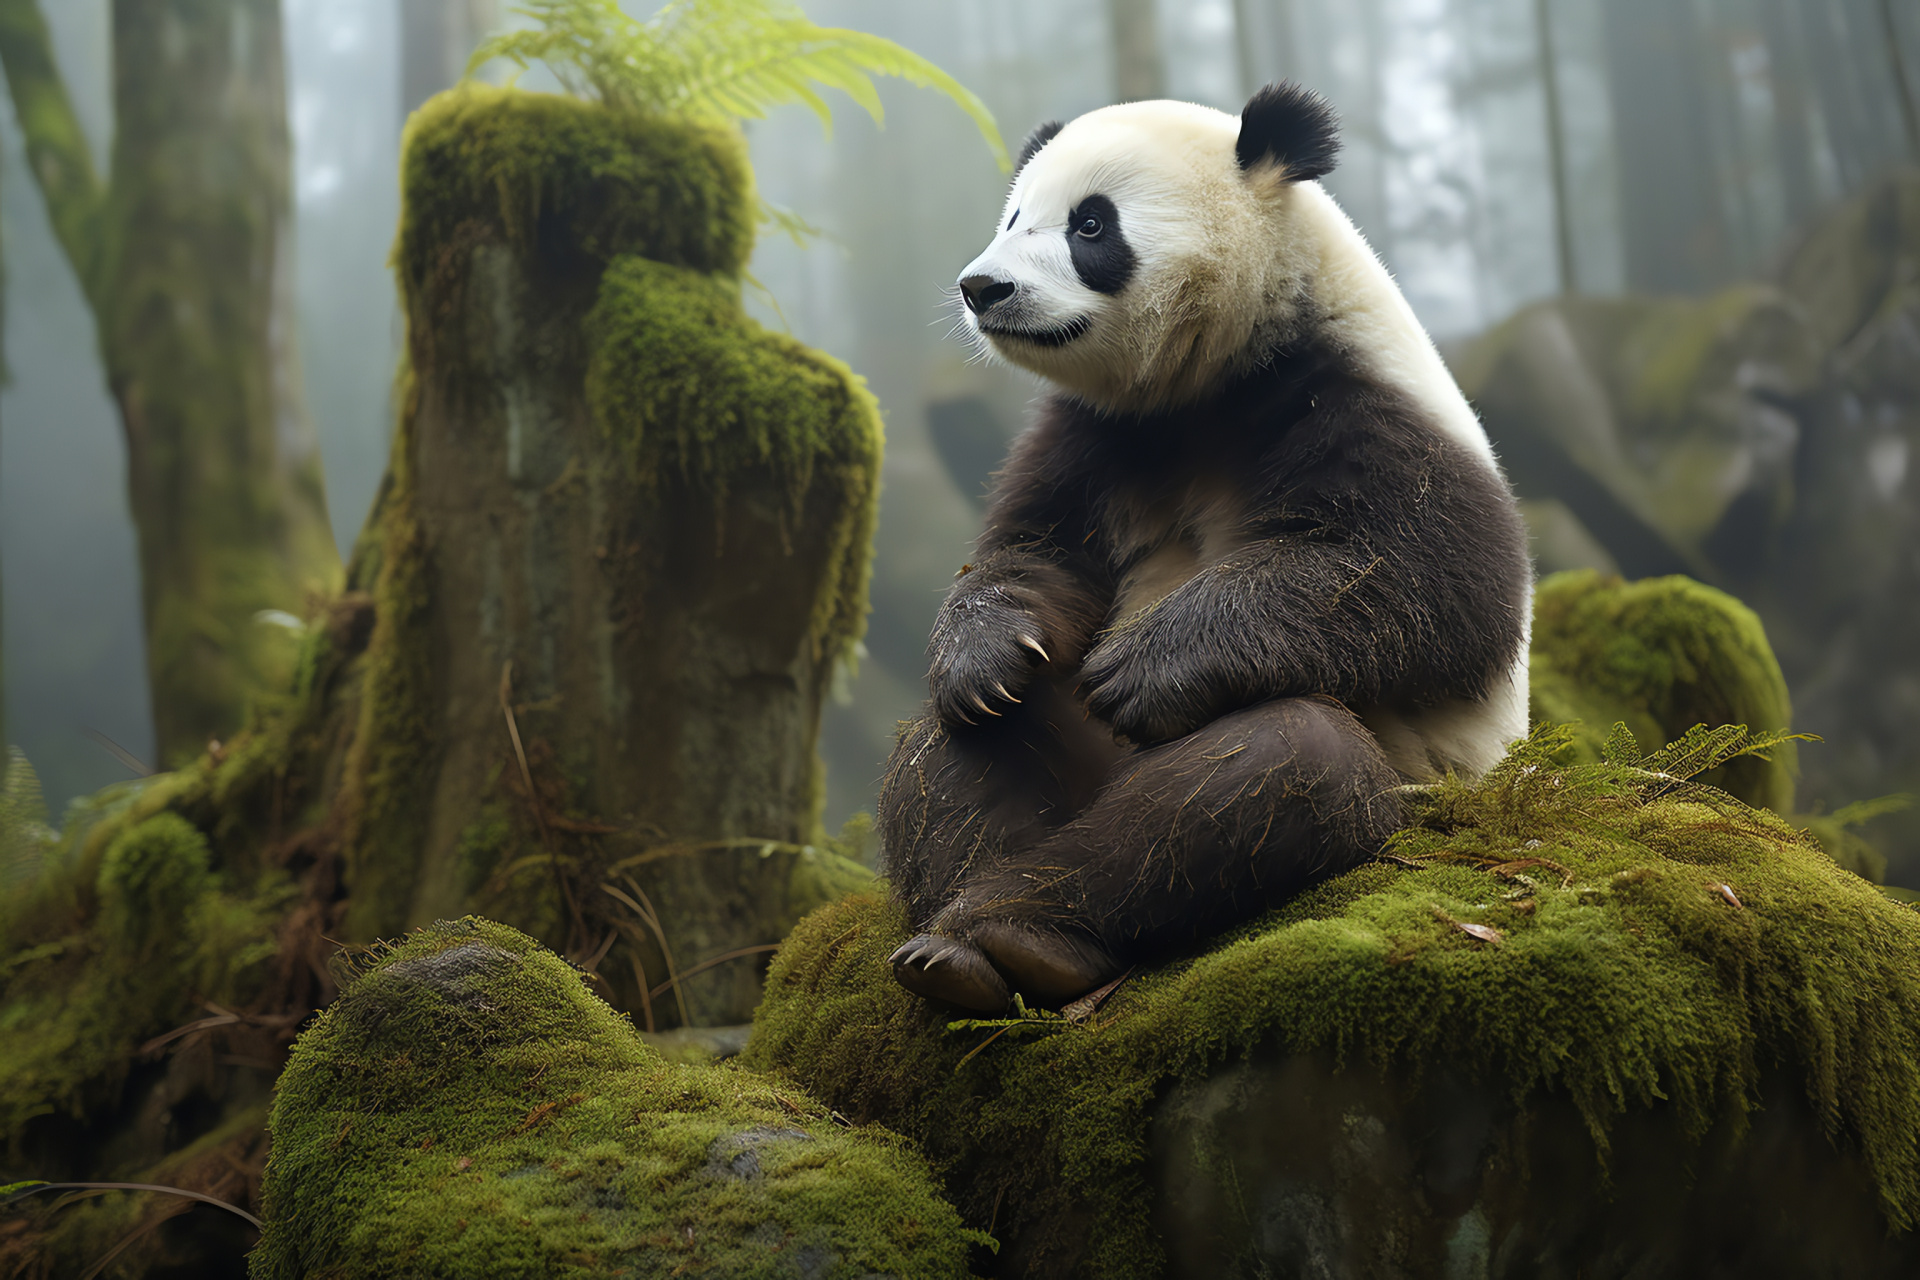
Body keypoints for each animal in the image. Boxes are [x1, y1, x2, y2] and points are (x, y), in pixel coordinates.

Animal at [879, 84, 1528, 1013]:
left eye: (1090, 225)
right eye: (1013, 215)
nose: (984, 286)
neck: (1199, 382)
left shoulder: (1356, 397)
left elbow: (1431, 582)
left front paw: (1143, 667)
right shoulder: (1093, 435)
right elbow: (1034, 553)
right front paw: (986, 651)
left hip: (1413, 786)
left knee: (1271, 768)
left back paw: (1021, 933)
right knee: (949, 742)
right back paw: (953, 943)